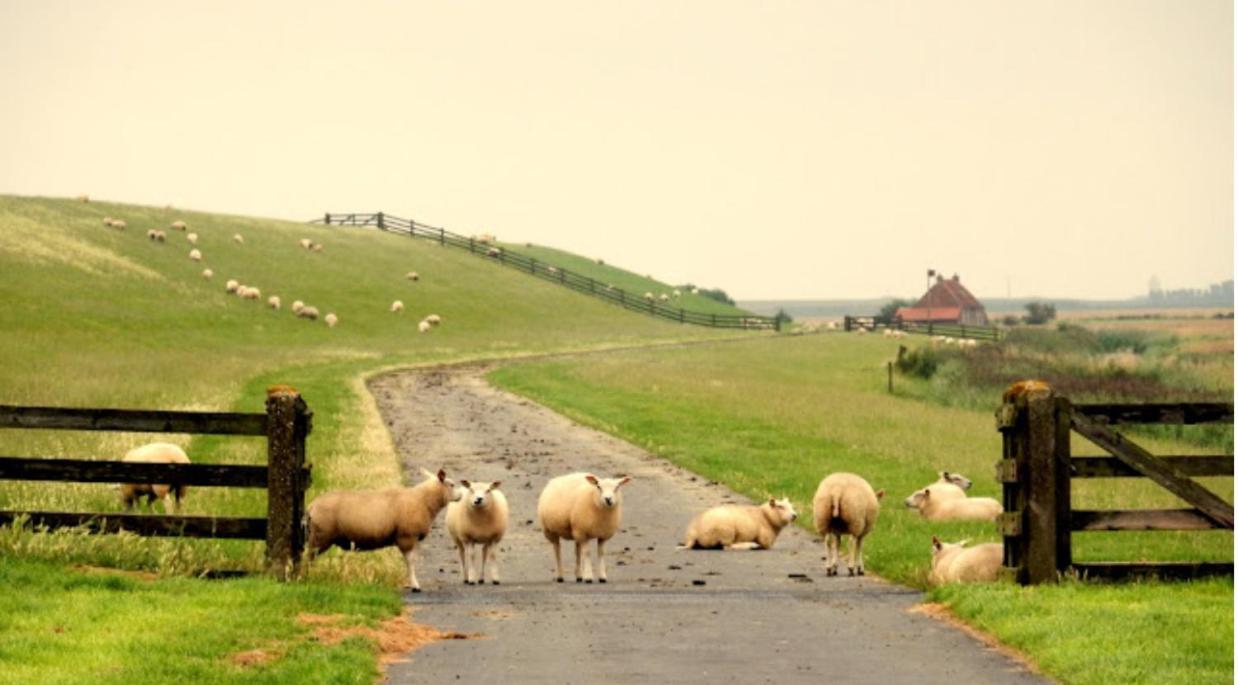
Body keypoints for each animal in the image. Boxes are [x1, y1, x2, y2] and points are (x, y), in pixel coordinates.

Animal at [305, 468, 458, 589]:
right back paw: (306, 575)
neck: (423, 500)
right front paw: (415, 585)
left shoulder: (411, 538)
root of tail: (312, 506)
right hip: (320, 536)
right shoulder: (407, 536)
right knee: (308, 556)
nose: (461, 496)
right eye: (452, 484)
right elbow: (410, 562)